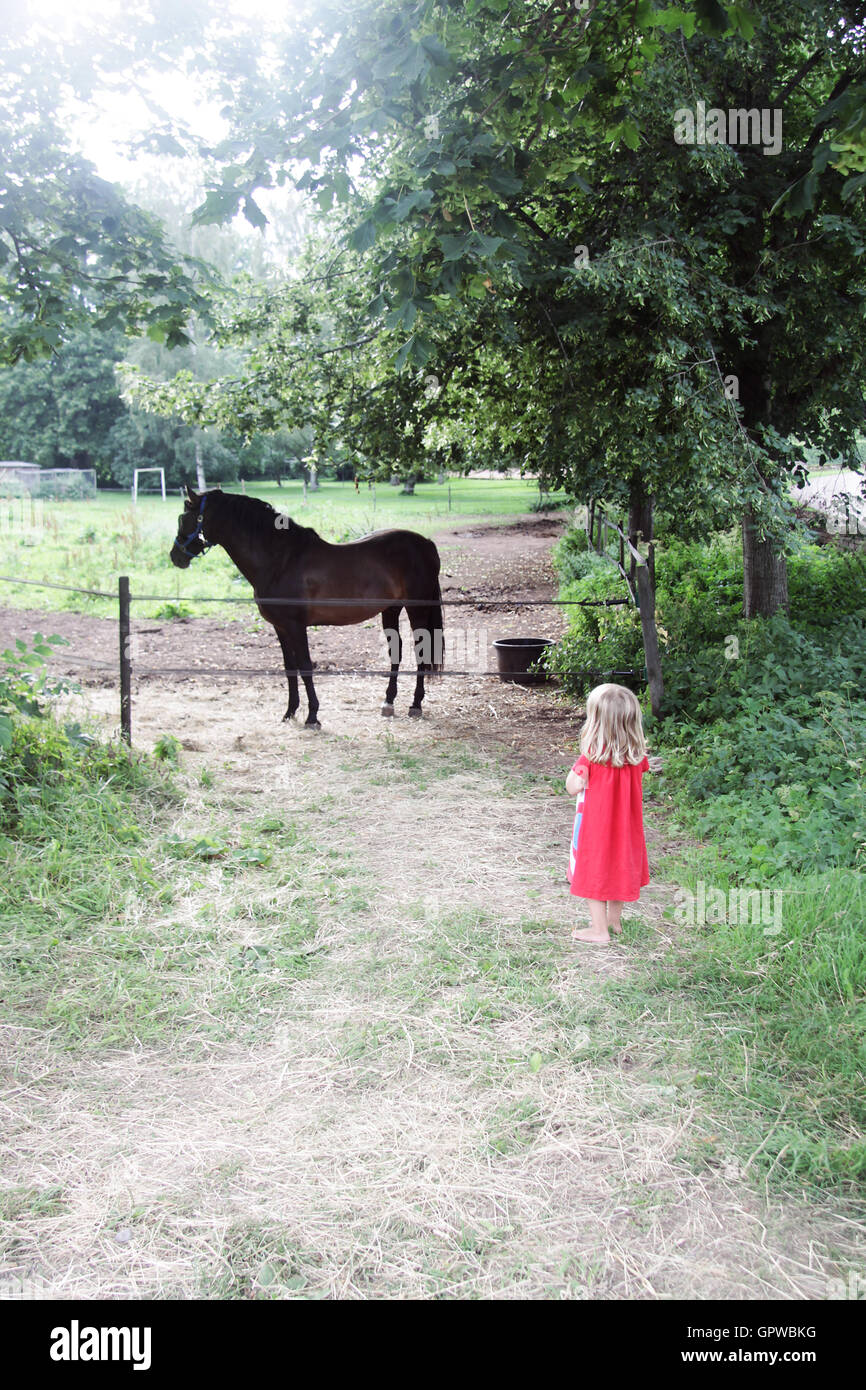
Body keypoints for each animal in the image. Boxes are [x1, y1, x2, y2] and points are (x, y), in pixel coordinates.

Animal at [169, 486, 444, 727]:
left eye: (184, 518)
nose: (175, 556)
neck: (280, 561)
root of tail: (426, 543)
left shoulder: (296, 626)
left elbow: (305, 666)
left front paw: (312, 717)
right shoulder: (280, 627)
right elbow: (290, 668)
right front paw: (289, 712)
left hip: (417, 608)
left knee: (421, 651)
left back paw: (415, 705)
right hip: (391, 609)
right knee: (395, 651)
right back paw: (388, 702)